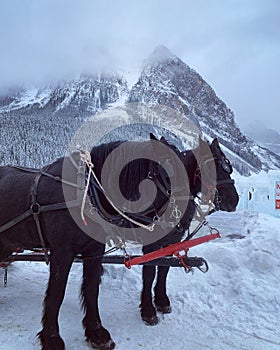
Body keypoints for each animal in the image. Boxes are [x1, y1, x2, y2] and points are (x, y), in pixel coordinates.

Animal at [0, 135, 238, 350]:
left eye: (229, 168)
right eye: (166, 170)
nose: (233, 200)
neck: (87, 193)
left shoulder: (100, 249)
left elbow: (96, 288)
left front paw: (97, 332)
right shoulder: (62, 252)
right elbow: (57, 293)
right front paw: (51, 338)